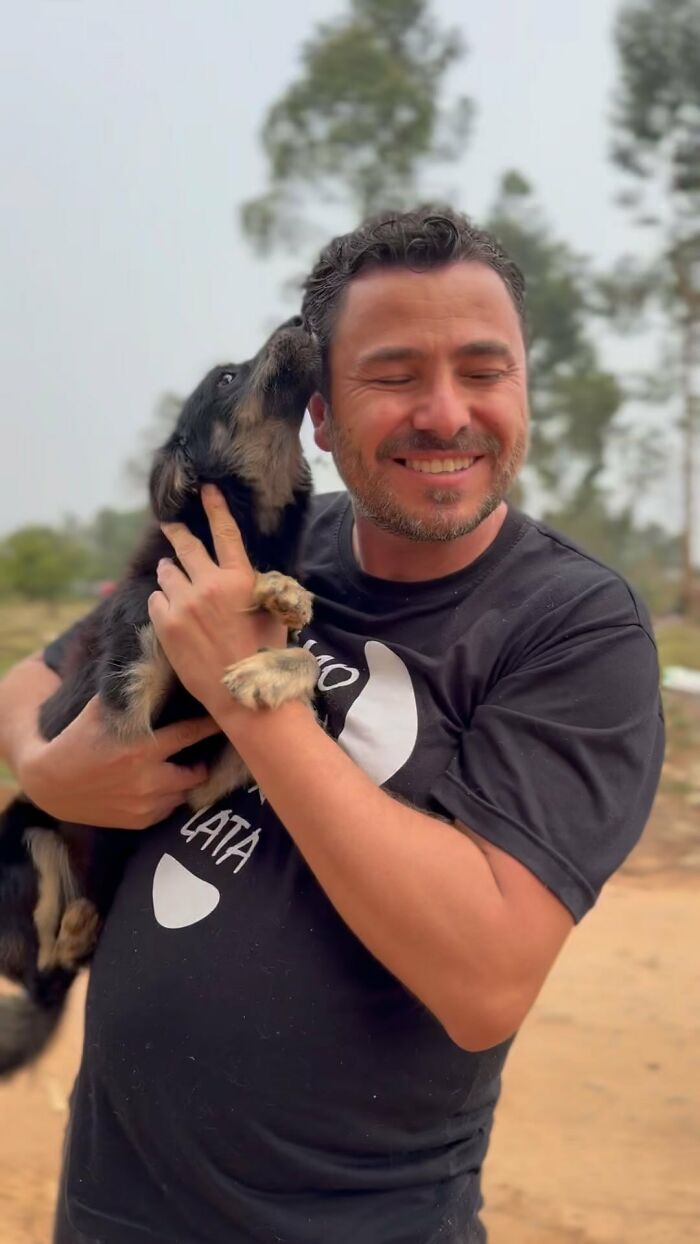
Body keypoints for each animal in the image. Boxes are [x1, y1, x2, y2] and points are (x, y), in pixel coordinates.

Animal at [0, 315, 320, 1074]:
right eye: (227, 377)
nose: (301, 318)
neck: (251, 529)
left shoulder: (209, 773)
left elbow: (305, 664)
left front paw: (281, 619)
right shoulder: (131, 697)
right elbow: (159, 622)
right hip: (24, 837)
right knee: (44, 965)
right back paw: (74, 931)